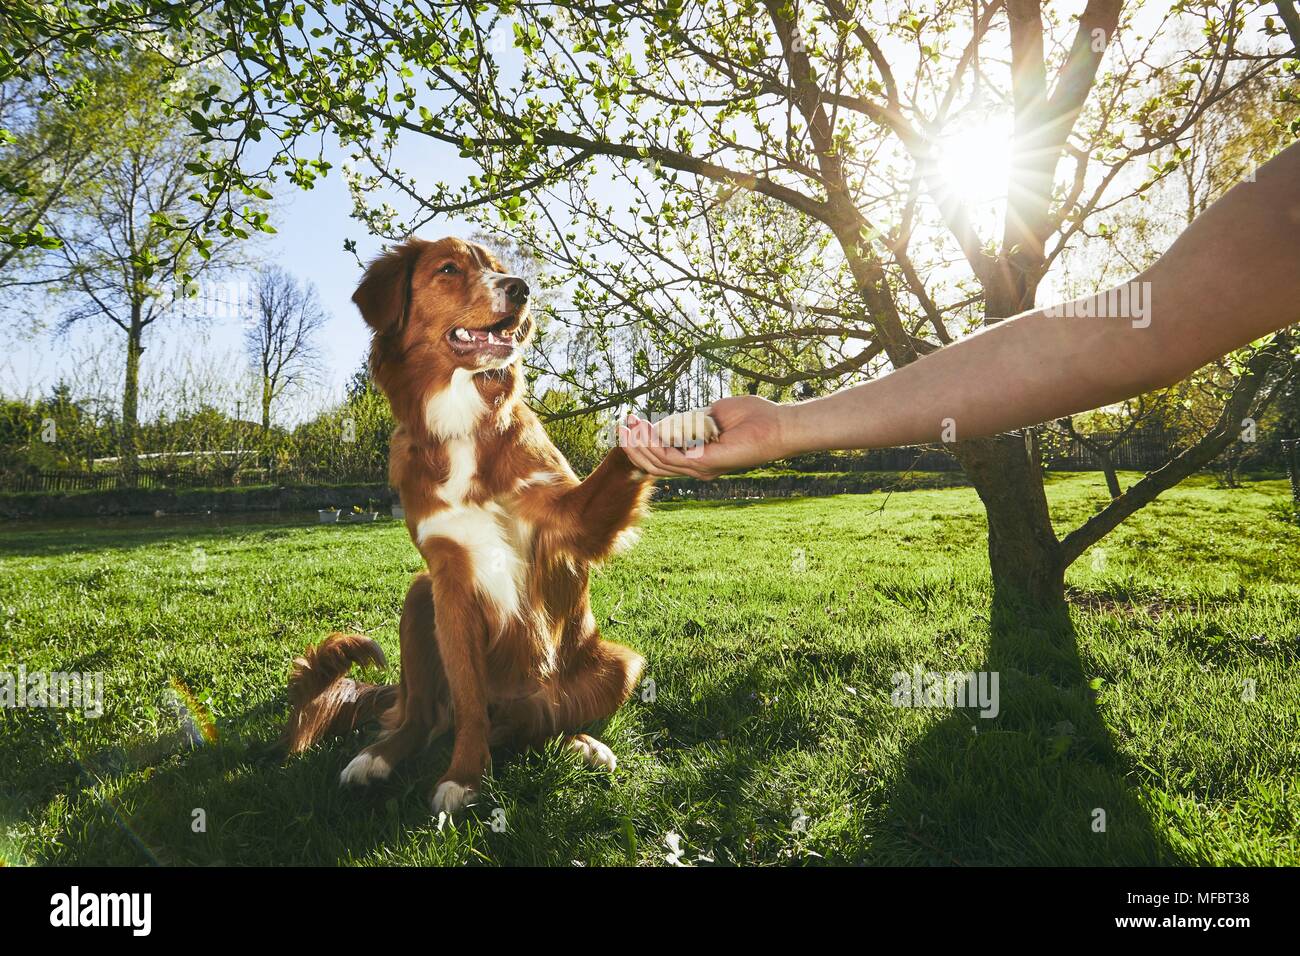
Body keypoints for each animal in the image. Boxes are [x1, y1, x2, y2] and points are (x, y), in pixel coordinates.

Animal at [278, 235, 717, 811]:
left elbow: (622, 452)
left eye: (498, 268)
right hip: (420, 597)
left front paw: (679, 425)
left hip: (618, 666)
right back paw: (377, 757)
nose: (522, 289)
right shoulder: (449, 578)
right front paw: (465, 776)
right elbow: (467, 700)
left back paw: (580, 744)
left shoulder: (569, 523)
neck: (463, 421)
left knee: (539, 724)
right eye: (448, 269)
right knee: (421, 717)